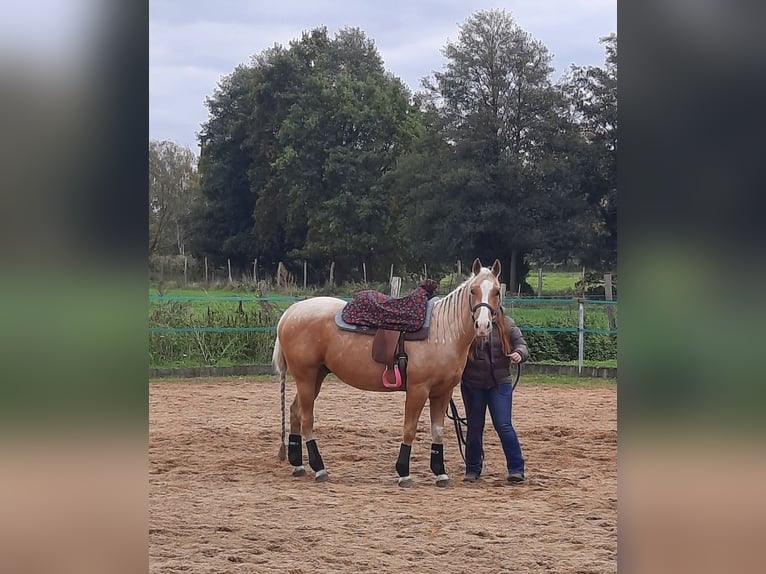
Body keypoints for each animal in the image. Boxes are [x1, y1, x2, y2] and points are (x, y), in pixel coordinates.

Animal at [272, 258, 502, 487]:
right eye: (473, 290)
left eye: (497, 291)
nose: (483, 326)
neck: (442, 332)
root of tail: (290, 313)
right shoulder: (418, 389)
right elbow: (409, 429)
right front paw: (404, 473)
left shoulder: (443, 392)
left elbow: (437, 431)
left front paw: (440, 473)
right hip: (306, 377)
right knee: (306, 419)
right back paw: (319, 469)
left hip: (316, 376)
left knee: (294, 412)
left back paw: (298, 465)